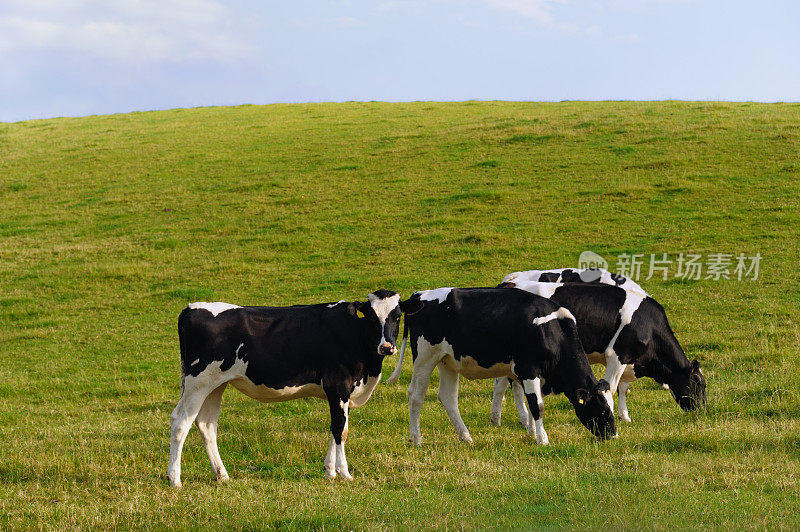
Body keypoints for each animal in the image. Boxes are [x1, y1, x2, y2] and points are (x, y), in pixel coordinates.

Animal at [170, 288, 406, 488]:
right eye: (372, 318)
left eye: (397, 316)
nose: (386, 347)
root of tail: (191, 308)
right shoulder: (338, 385)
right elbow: (341, 429)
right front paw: (344, 472)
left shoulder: (341, 392)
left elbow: (336, 427)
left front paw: (329, 471)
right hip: (198, 381)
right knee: (181, 422)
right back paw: (175, 479)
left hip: (215, 384)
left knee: (206, 425)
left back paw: (222, 475)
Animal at [396, 286, 620, 444]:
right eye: (602, 409)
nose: (613, 435)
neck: (553, 331)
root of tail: (419, 295)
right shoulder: (528, 369)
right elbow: (537, 406)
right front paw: (542, 439)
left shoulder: (527, 373)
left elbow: (531, 403)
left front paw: (532, 433)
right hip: (425, 357)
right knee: (416, 395)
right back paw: (416, 438)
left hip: (447, 361)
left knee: (448, 397)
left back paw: (466, 437)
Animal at [494, 280, 708, 426]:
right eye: (698, 383)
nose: (703, 410)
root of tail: (509, 283)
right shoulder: (617, 355)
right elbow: (612, 388)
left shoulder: (628, 360)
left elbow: (623, 388)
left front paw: (624, 416)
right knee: (510, 386)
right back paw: (513, 419)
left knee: (505, 384)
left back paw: (504, 419)